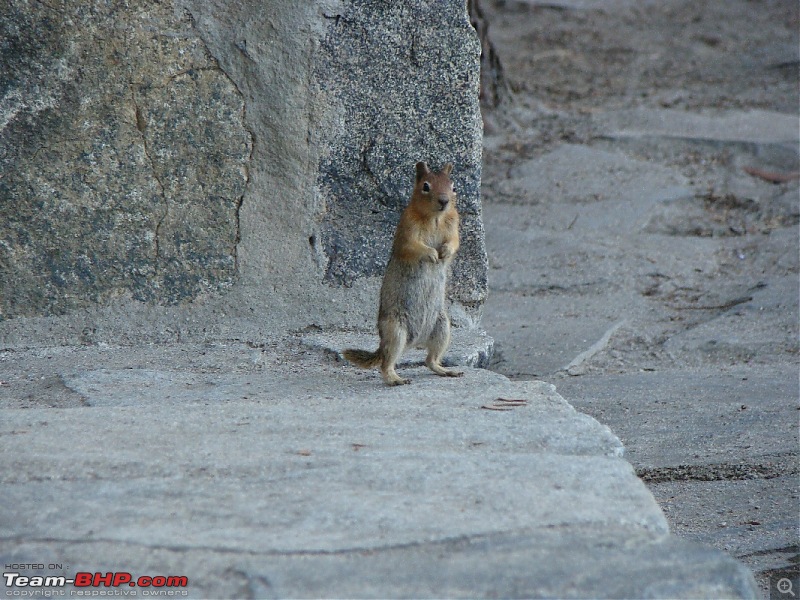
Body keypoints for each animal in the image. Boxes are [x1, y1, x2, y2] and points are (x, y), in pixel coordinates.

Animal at [342, 159, 462, 386]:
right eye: (425, 186)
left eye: (453, 186)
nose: (444, 201)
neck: (436, 218)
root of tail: (414, 342)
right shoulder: (407, 231)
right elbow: (413, 246)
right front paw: (432, 254)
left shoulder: (454, 228)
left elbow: (454, 243)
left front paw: (444, 252)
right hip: (396, 330)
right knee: (386, 364)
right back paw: (395, 379)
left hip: (442, 327)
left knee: (430, 360)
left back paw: (446, 371)